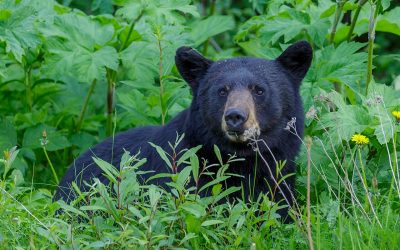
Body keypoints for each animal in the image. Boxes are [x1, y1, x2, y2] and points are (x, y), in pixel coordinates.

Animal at [54, 41, 312, 221]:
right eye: (222, 90)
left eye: (258, 90)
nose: (235, 117)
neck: (241, 160)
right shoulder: (185, 175)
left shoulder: (279, 177)